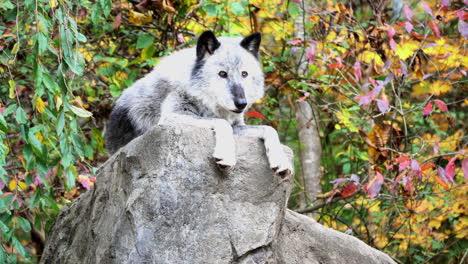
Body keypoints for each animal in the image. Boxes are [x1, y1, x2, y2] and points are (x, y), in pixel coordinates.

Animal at [106, 30, 292, 175]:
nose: (241, 103)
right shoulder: (171, 116)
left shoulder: (238, 125)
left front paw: (281, 160)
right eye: (222, 74)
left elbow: (269, 129)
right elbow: (222, 123)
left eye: (244, 74)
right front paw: (226, 155)